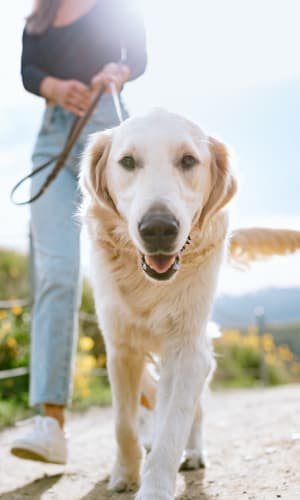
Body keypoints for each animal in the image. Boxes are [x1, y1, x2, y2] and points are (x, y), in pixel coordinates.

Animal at [79, 109, 300, 500]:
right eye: (127, 162)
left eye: (187, 161)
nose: (158, 229)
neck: (150, 284)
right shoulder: (120, 348)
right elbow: (123, 423)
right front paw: (125, 474)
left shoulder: (188, 351)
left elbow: (174, 424)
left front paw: (154, 487)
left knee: (191, 412)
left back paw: (193, 453)